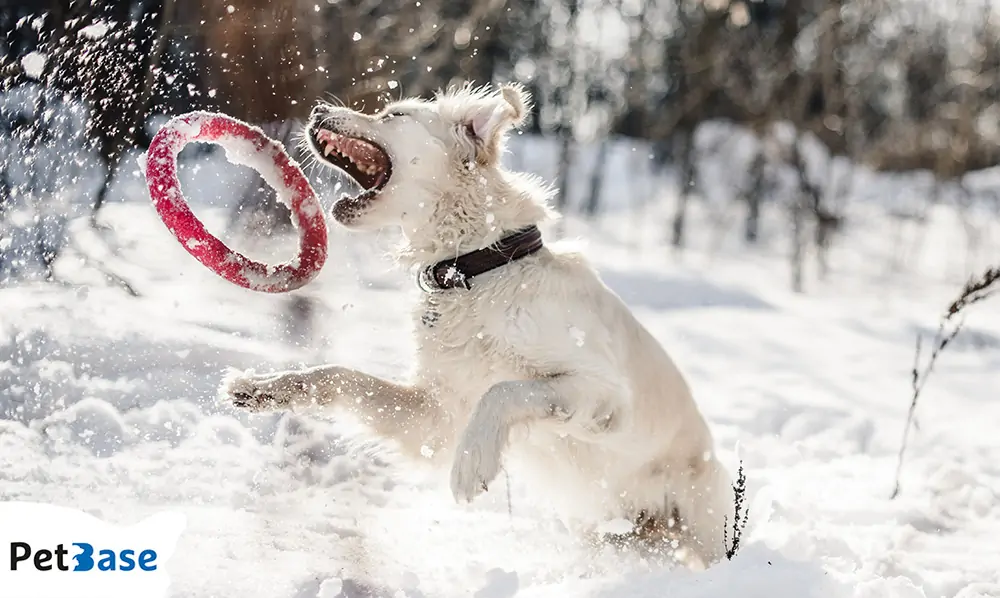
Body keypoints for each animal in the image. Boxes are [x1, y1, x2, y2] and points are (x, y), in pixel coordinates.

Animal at [221, 83, 736, 568]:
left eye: (393, 114)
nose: (316, 110)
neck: (479, 268)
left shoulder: (606, 394)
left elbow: (505, 391)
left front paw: (471, 466)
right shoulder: (437, 416)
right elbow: (338, 375)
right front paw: (263, 388)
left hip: (701, 525)